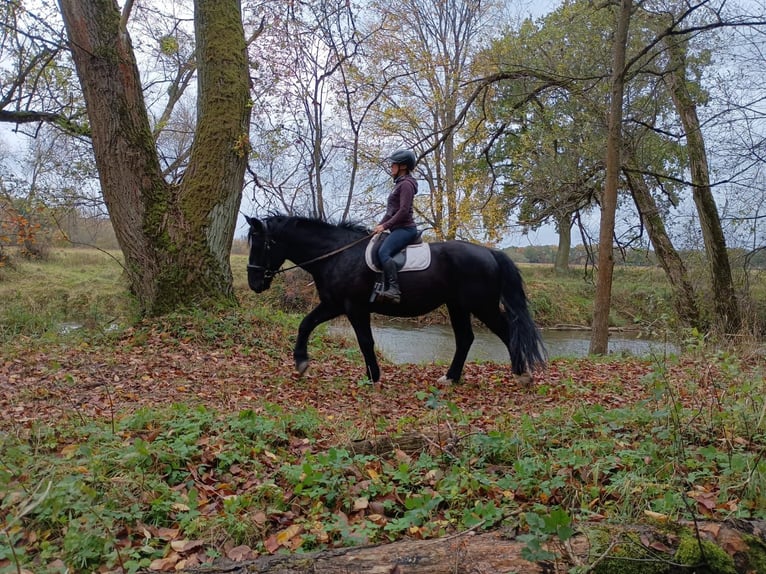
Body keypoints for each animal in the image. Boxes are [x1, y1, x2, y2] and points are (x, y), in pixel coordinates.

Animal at [245, 214, 546, 384]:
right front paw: (301, 363)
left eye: (260, 244)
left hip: (481, 306)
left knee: (507, 331)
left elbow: (365, 341)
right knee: (465, 339)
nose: (254, 283)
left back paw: (522, 374)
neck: (337, 254)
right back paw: (451, 378)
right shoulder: (333, 304)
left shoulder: (353, 307)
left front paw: (373, 377)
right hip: (457, 306)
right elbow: (305, 325)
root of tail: (490, 253)